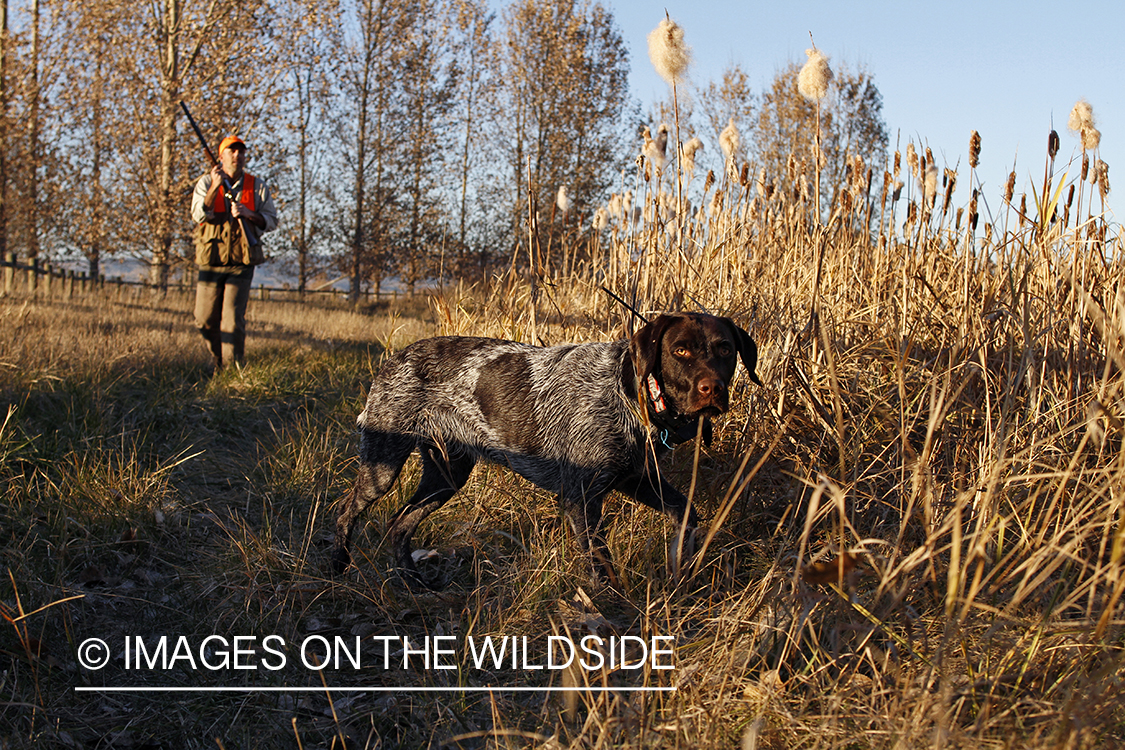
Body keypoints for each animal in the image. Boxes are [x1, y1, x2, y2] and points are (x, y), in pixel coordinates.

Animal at [328, 310, 760, 584]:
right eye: (680, 350)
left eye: (725, 349)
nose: (712, 389)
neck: (628, 393)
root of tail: (394, 357)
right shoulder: (581, 498)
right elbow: (602, 567)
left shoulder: (634, 478)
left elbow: (685, 512)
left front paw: (681, 565)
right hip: (383, 464)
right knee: (347, 511)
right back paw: (338, 567)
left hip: (446, 475)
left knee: (400, 523)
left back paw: (411, 581)